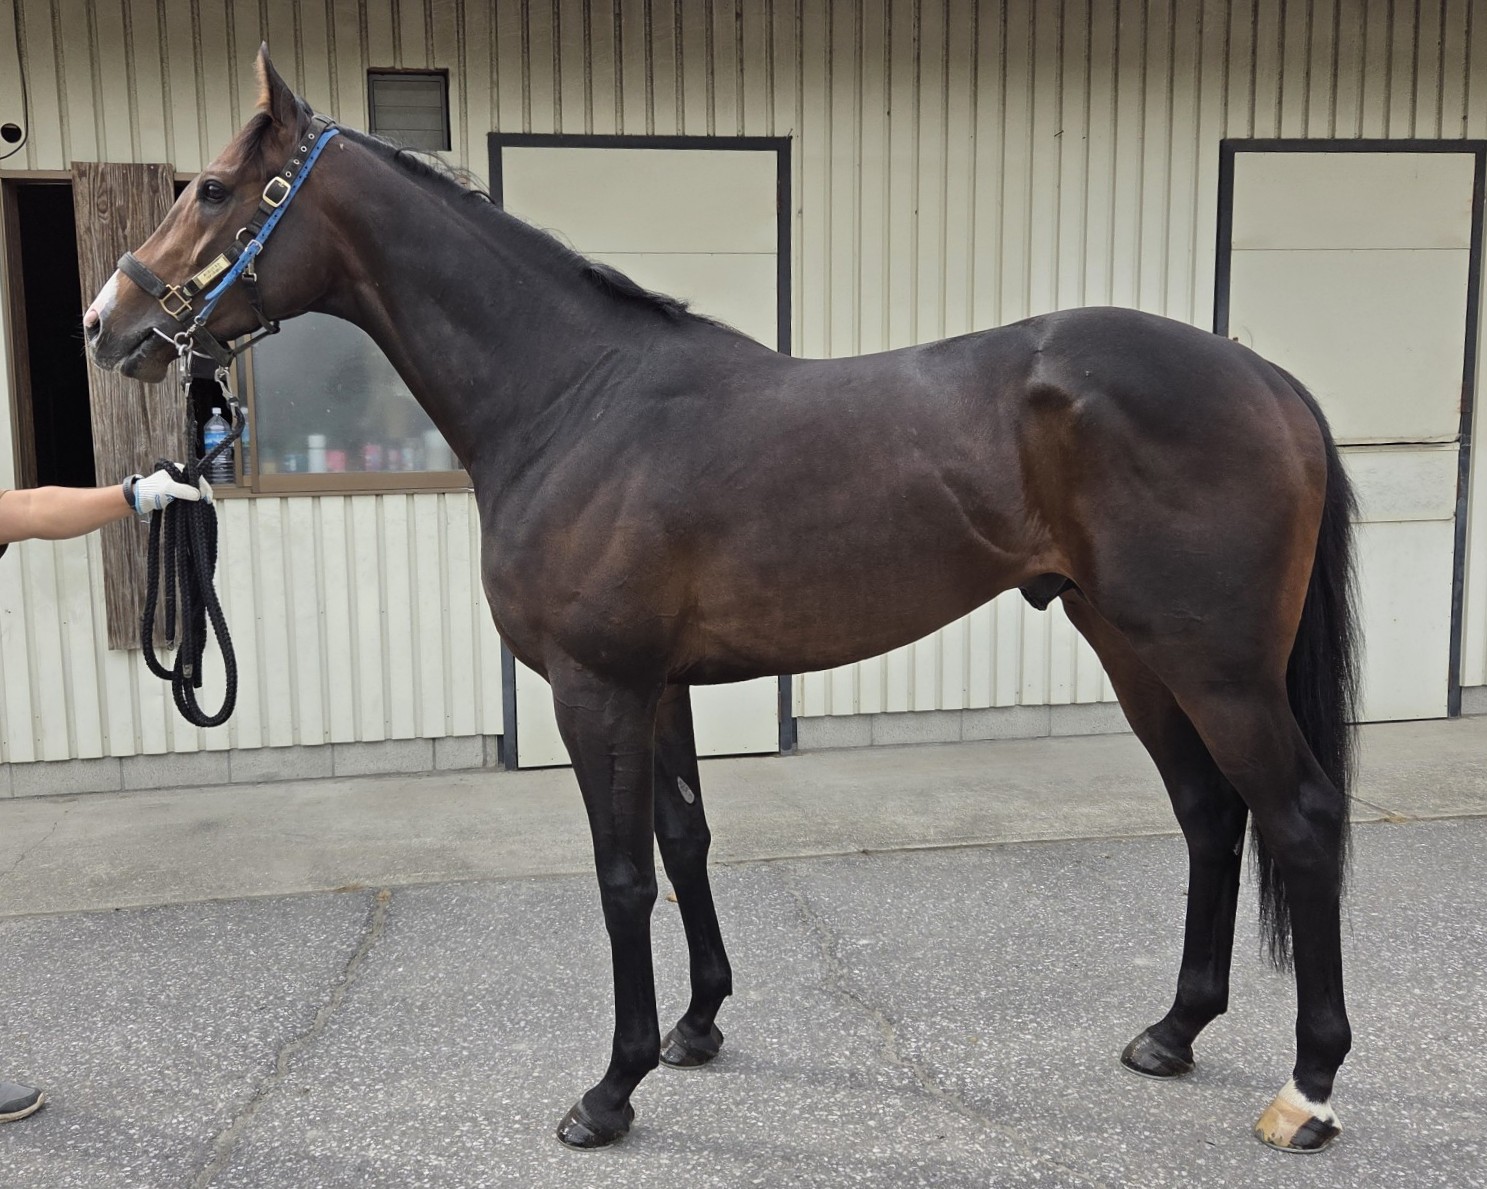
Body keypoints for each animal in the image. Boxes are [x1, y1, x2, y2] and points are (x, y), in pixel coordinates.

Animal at [84, 48, 1358, 1155]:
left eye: (211, 186)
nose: (109, 323)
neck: (575, 399)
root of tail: (1262, 375)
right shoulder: (659, 687)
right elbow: (686, 838)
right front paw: (696, 1028)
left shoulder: (595, 689)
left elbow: (621, 874)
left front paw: (610, 1089)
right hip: (1134, 649)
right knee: (1208, 812)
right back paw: (1173, 1031)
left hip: (1214, 665)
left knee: (1296, 817)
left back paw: (1305, 1089)